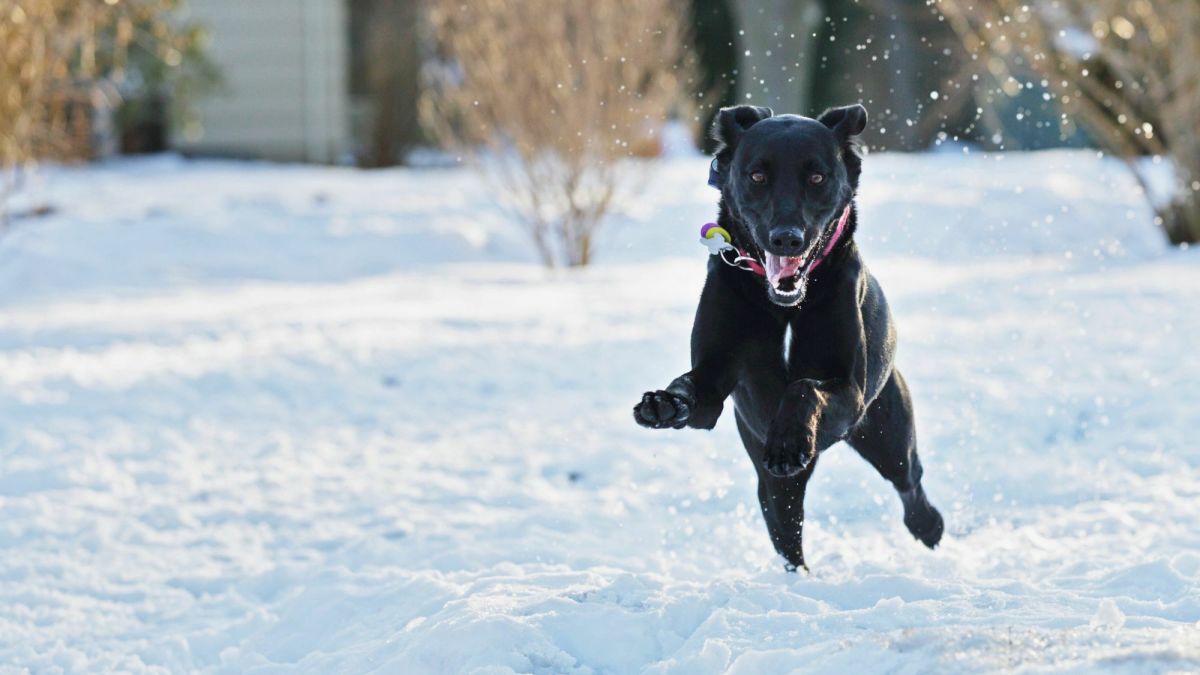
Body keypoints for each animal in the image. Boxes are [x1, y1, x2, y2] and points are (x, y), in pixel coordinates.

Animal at [633, 103, 940, 566]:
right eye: (757, 176)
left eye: (817, 177)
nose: (786, 238)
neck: (785, 307)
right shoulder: (713, 383)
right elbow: (690, 387)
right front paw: (663, 404)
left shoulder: (850, 392)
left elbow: (804, 385)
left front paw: (789, 439)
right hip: (774, 491)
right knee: (788, 537)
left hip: (887, 435)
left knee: (910, 481)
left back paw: (929, 526)